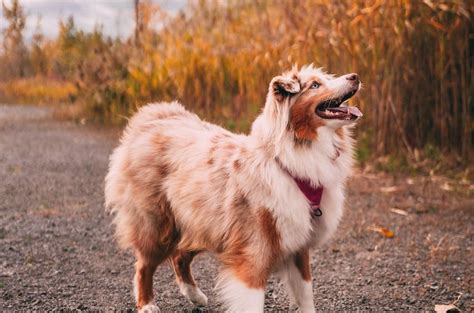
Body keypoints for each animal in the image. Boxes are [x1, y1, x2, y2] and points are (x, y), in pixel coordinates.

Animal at [104, 64, 362, 310]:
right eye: (315, 85)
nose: (355, 76)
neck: (288, 162)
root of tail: (154, 116)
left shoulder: (299, 245)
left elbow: (307, 297)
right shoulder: (253, 253)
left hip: (202, 223)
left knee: (180, 256)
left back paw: (195, 295)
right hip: (158, 225)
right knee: (144, 265)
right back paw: (147, 304)